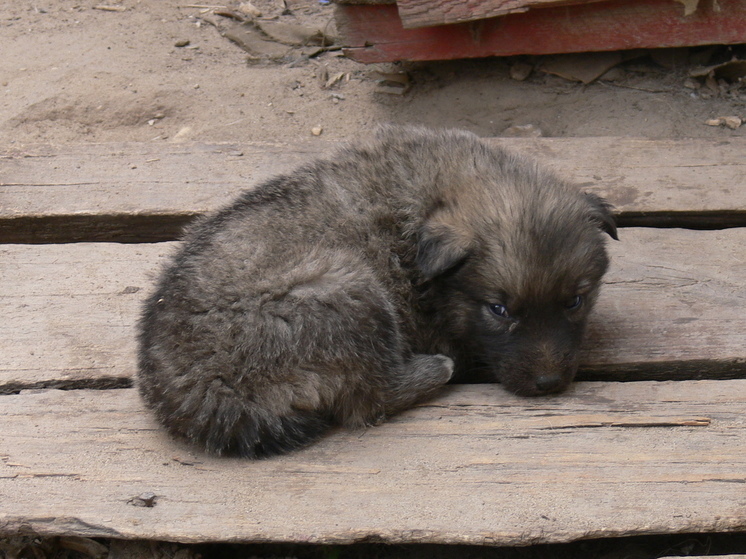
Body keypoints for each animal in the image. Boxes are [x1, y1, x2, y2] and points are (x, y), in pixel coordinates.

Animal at [140, 127, 616, 460]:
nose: (549, 384)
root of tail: (202, 394)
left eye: (575, 301)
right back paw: (436, 368)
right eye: (499, 310)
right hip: (345, 288)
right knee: (368, 401)